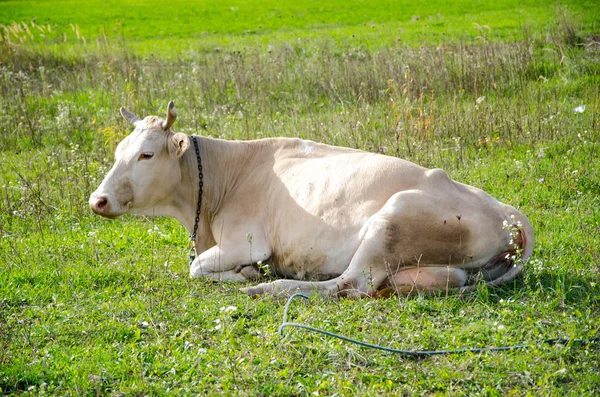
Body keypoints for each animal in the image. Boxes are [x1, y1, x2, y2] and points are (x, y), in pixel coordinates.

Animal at [89, 102, 536, 296]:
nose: (98, 200)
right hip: (435, 265)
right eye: (118, 151)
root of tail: (509, 213)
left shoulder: (245, 241)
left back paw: (269, 288)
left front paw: (246, 275)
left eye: (146, 155)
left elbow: (197, 268)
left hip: (391, 220)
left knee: (348, 284)